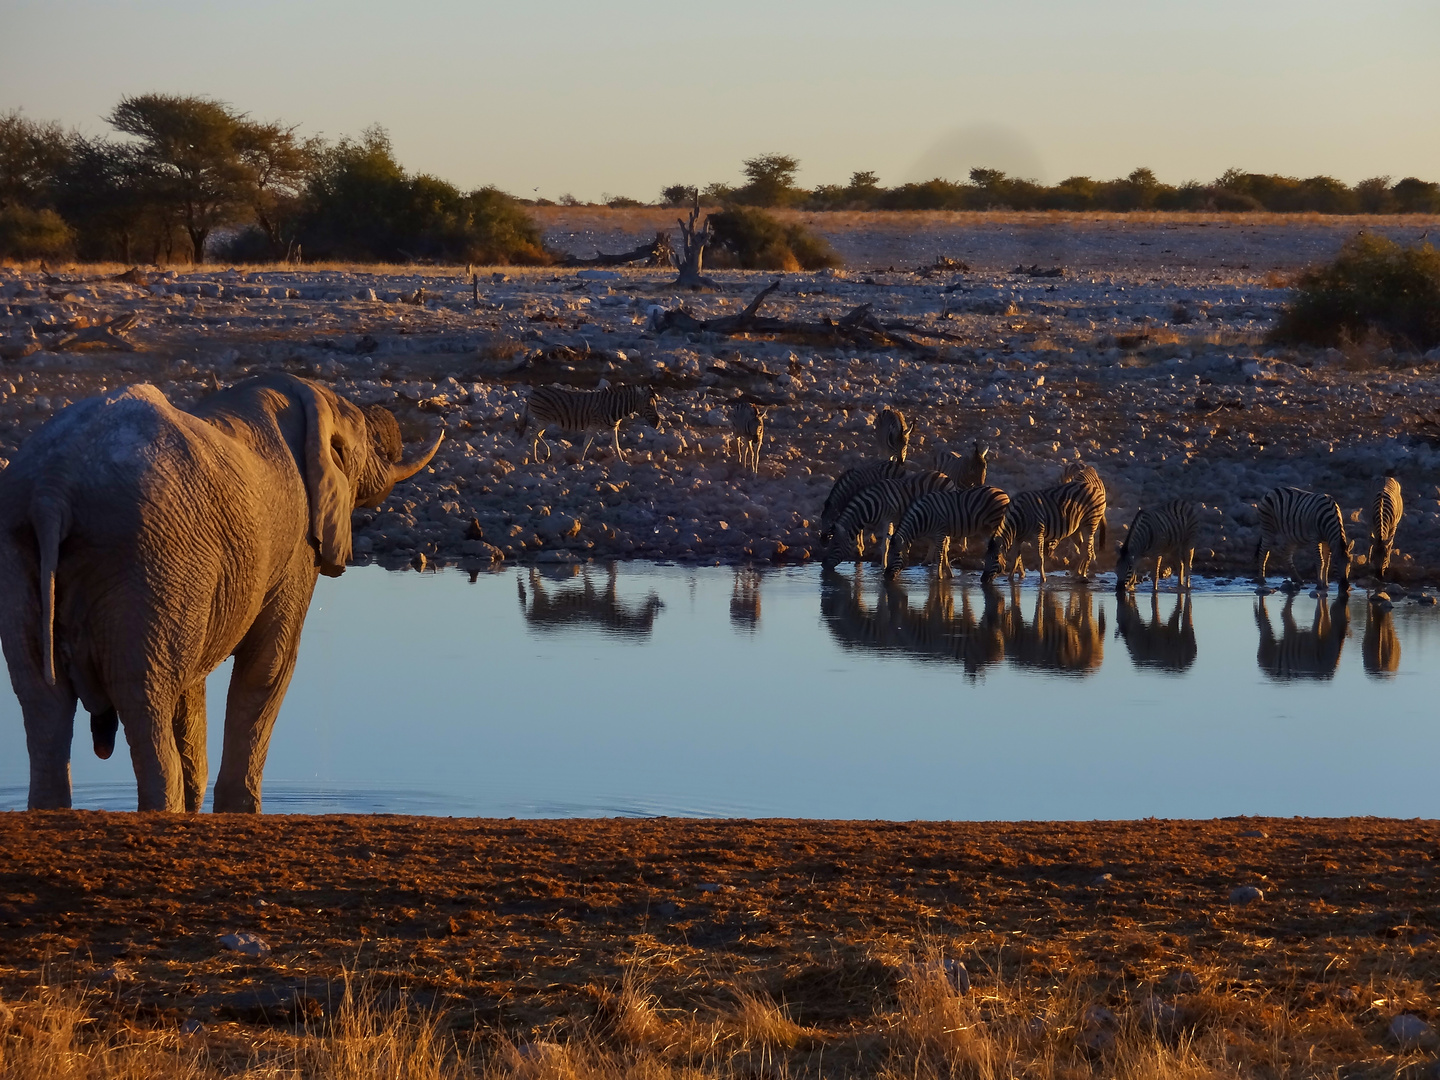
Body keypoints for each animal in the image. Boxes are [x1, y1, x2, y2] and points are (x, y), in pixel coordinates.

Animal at [0, 377, 437, 817]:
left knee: (42, 698)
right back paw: (165, 809)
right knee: (143, 698)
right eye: (361, 444)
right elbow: (270, 665)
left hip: (23, 551)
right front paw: (240, 811)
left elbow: (192, 685)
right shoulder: (296, 546)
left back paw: (51, 808)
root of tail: (53, 489)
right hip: (148, 555)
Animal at [515, 383, 659, 463]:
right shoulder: (593, 426)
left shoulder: (613, 428)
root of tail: (533, 391)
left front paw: (621, 461)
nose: (658, 424)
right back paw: (539, 457)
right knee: (533, 435)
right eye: (648, 405)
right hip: (543, 419)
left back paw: (543, 455)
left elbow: (616, 446)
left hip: (545, 421)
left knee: (537, 435)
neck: (613, 407)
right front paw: (581, 462)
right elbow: (586, 444)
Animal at [823, 472, 956, 576]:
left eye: (835, 545)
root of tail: (944, 475)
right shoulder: (884, 522)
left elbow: (884, 545)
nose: (823, 565)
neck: (872, 504)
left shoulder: (887, 520)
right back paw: (927, 561)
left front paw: (883, 566)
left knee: (944, 540)